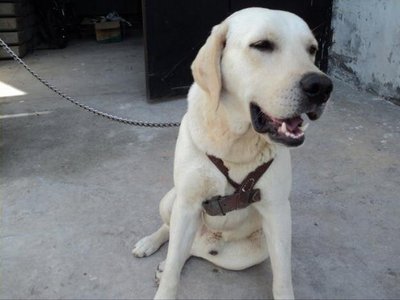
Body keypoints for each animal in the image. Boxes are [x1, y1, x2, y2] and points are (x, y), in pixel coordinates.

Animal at [133, 7, 332, 300]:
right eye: (262, 45)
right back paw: (151, 245)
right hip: (171, 200)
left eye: (312, 49)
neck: (236, 141)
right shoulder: (187, 203)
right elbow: (172, 274)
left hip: (251, 251)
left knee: (190, 251)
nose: (322, 86)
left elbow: (282, 277)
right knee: (172, 236)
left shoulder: (278, 210)